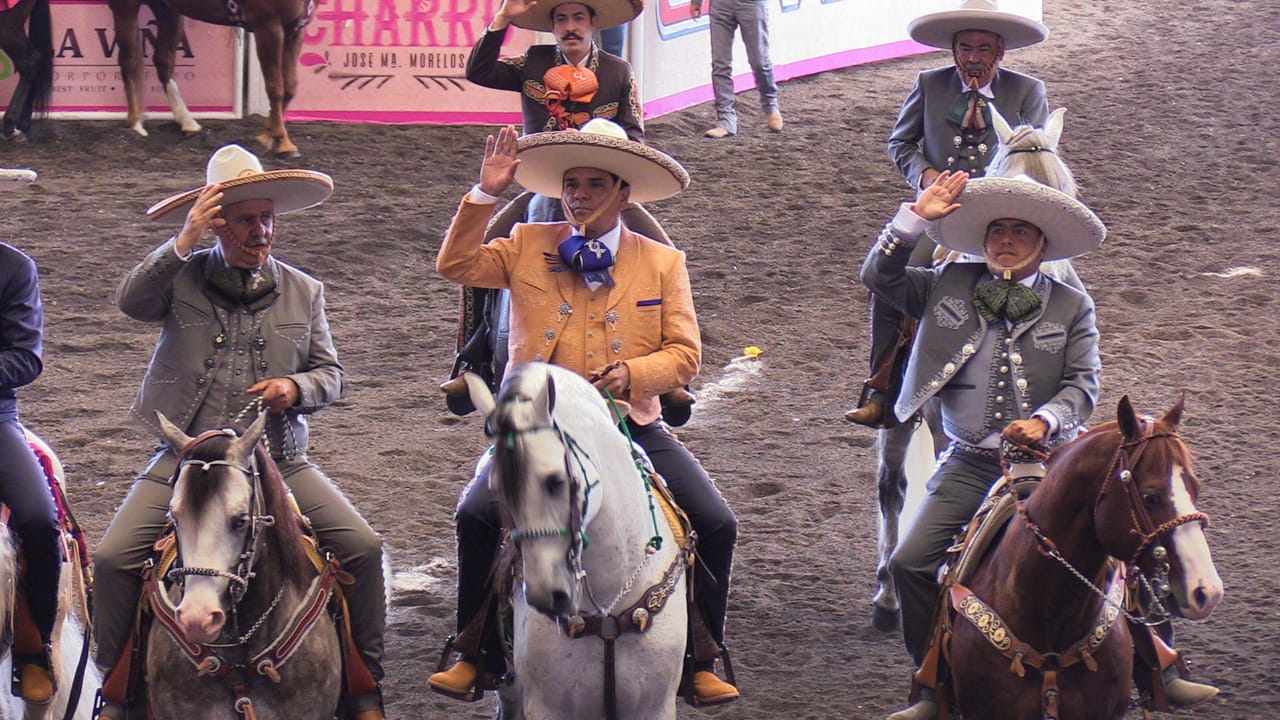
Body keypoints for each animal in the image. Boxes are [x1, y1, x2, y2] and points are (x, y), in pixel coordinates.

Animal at [107, 0, 312, 155]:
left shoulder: (295, 29)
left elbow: (290, 86)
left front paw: (268, 136)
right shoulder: (269, 26)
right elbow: (275, 86)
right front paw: (282, 141)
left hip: (168, 9)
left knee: (163, 60)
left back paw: (187, 122)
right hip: (126, 6)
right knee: (129, 60)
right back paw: (135, 124)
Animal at [465, 363, 691, 717]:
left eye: (556, 481)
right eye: (497, 488)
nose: (546, 593)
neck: (608, 609)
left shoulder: (654, 708)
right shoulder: (548, 708)